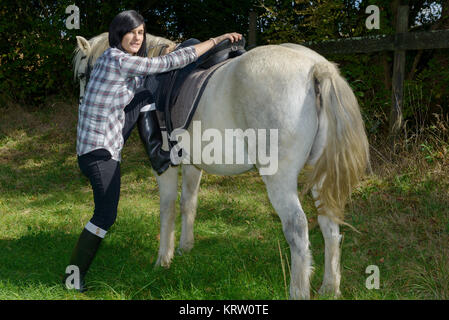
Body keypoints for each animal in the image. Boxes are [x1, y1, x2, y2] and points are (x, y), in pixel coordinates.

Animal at [72, 31, 368, 298]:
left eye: (82, 74)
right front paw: (185, 247)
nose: (84, 104)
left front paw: (163, 259)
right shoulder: (192, 164)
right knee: (329, 224)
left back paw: (298, 291)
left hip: (280, 180)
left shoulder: (165, 166)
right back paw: (330, 287)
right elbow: (188, 204)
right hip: (321, 175)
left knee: (297, 228)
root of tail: (316, 66)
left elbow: (167, 209)